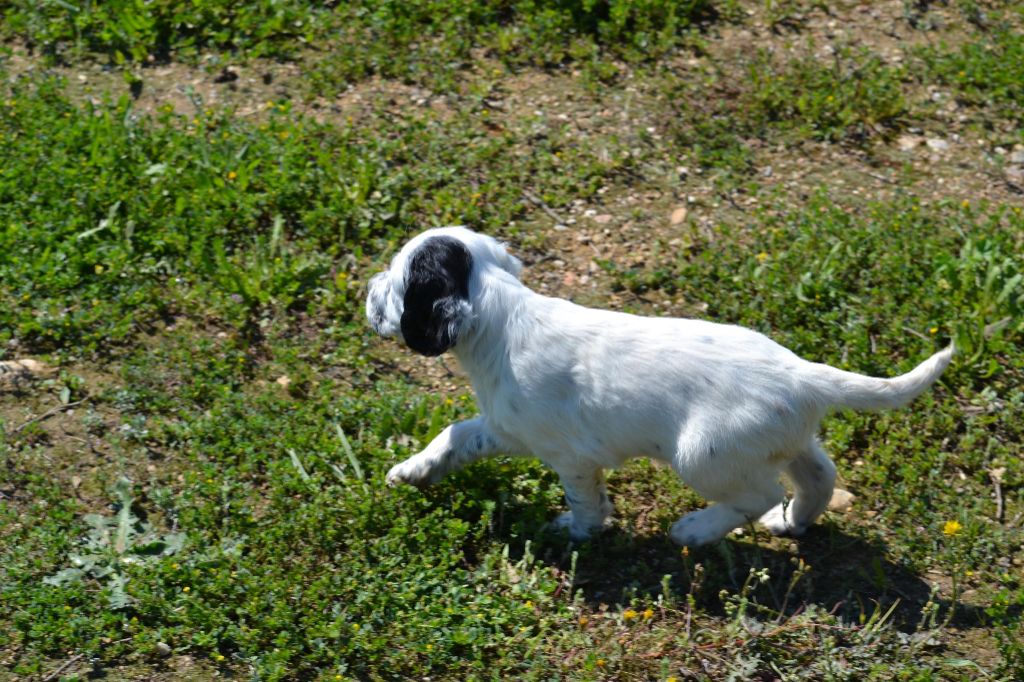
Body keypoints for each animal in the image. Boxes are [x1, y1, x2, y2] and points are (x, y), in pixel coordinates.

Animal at [366, 226, 953, 546]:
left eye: (397, 280)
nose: (367, 292)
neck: (502, 315)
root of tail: (799, 370)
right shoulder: (506, 428)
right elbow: (455, 436)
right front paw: (411, 471)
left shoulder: (570, 455)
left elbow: (585, 500)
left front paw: (578, 532)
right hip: (784, 438)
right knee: (817, 476)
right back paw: (793, 523)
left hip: (703, 455)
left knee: (757, 495)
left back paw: (696, 530)